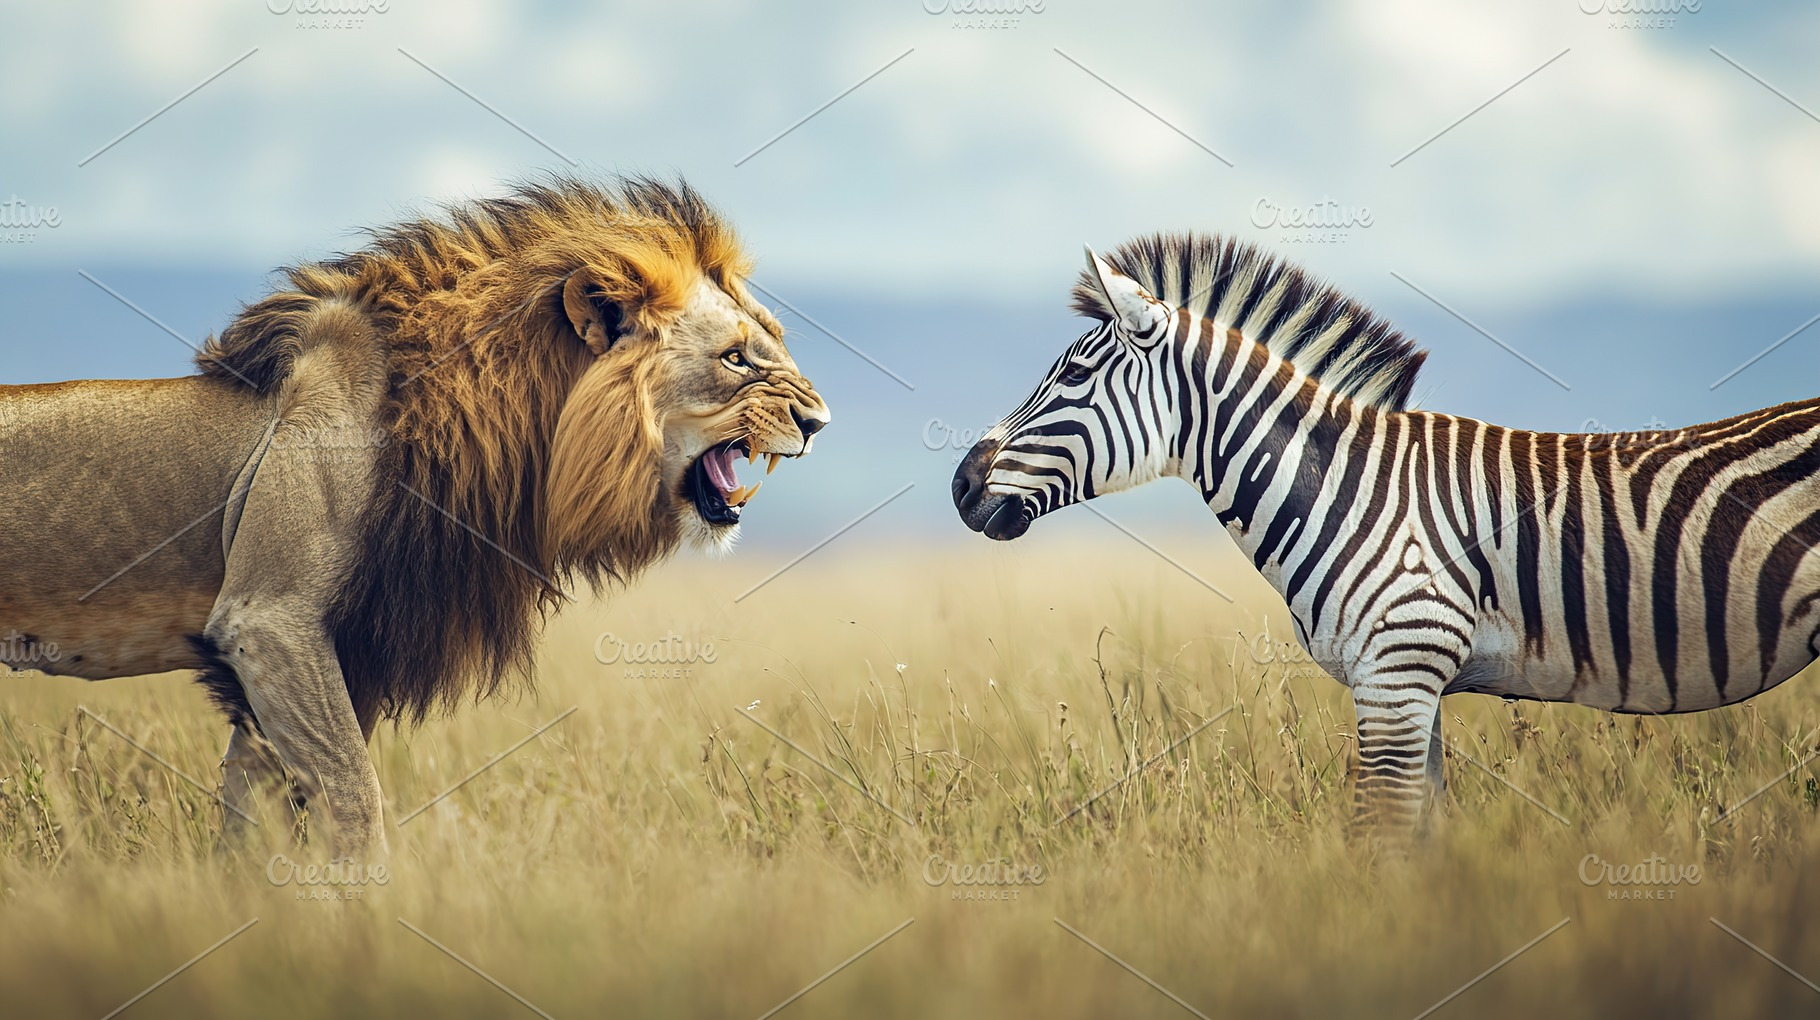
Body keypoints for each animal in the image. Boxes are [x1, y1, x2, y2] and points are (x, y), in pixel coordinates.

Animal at [0, 177, 830, 858]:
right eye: (736, 359)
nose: (818, 421)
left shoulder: (332, 646)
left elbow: (252, 816)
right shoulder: (269, 620)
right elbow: (352, 799)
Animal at [952, 233, 1820, 834]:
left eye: (1072, 375)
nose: (961, 486)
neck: (1347, 489)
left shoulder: (1399, 674)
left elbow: (1382, 838)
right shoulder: (1413, 684)